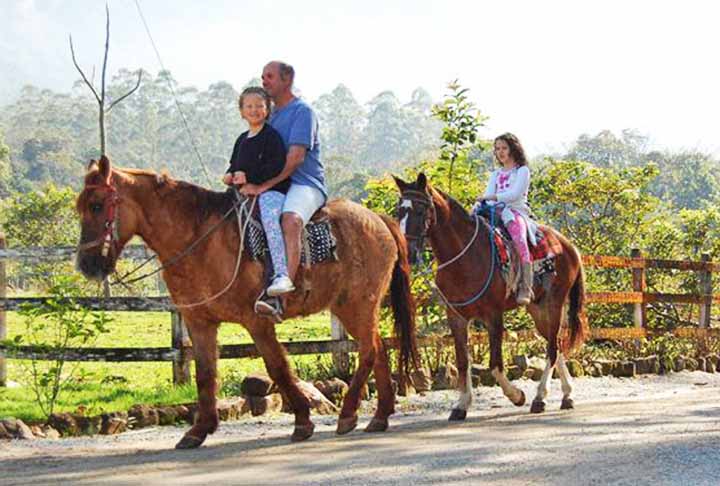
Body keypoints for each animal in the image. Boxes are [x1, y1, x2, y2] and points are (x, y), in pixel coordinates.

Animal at [75, 156, 420, 448]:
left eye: (97, 205)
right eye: (81, 207)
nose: (87, 265)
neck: (197, 239)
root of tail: (378, 219)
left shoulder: (257, 321)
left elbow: (278, 367)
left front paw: (302, 420)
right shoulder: (199, 322)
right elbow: (205, 373)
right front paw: (199, 430)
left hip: (357, 304)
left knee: (369, 351)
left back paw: (348, 414)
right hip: (354, 307)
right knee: (378, 349)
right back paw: (379, 416)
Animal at [396, 173, 588, 420]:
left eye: (420, 210)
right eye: (399, 211)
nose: (407, 252)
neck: (465, 256)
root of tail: (568, 245)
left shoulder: (493, 315)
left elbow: (495, 364)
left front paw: (517, 396)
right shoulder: (456, 316)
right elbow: (462, 362)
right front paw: (461, 405)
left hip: (553, 304)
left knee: (553, 350)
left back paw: (539, 398)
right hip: (537, 309)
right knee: (556, 344)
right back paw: (566, 395)